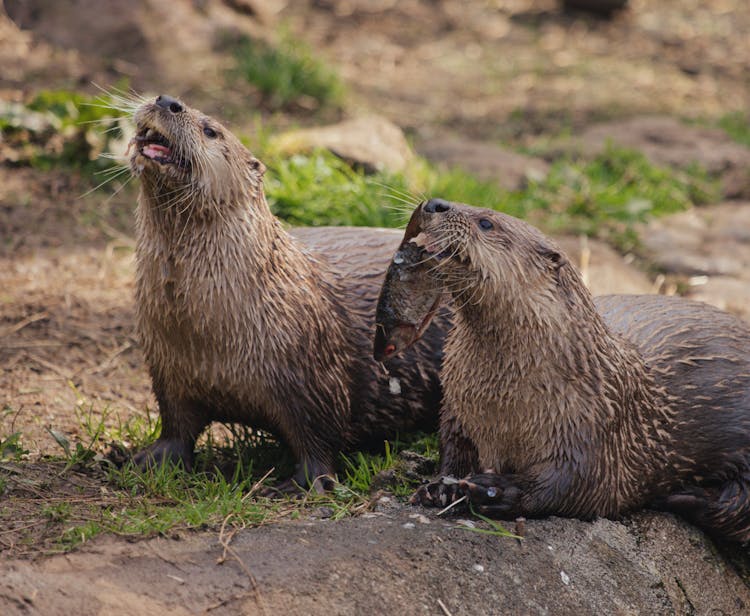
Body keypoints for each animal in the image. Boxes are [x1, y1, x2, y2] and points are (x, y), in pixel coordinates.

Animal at [128, 95, 446, 490]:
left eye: (211, 130)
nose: (167, 101)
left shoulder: (312, 376)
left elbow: (318, 435)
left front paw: (307, 483)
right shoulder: (167, 370)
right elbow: (176, 423)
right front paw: (153, 457)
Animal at [376, 200, 750, 540]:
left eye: (486, 222)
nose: (434, 203)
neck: (504, 405)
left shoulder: (595, 426)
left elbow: (579, 486)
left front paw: (496, 490)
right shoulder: (457, 410)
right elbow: (453, 450)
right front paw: (440, 486)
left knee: (735, 506)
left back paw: (681, 495)